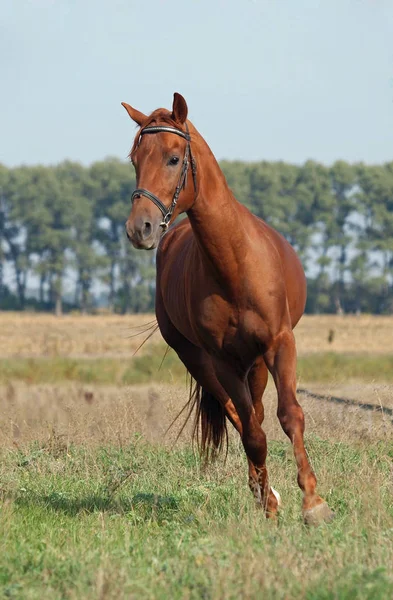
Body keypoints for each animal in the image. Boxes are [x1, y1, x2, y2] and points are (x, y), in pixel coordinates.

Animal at [121, 94, 332, 524]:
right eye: (135, 159)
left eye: (173, 158)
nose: (140, 228)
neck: (234, 263)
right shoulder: (223, 361)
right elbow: (252, 432)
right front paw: (270, 502)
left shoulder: (279, 344)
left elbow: (291, 414)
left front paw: (313, 502)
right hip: (199, 360)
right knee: (239, 414)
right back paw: (264, 491)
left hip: (257, 364)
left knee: (261, 413)